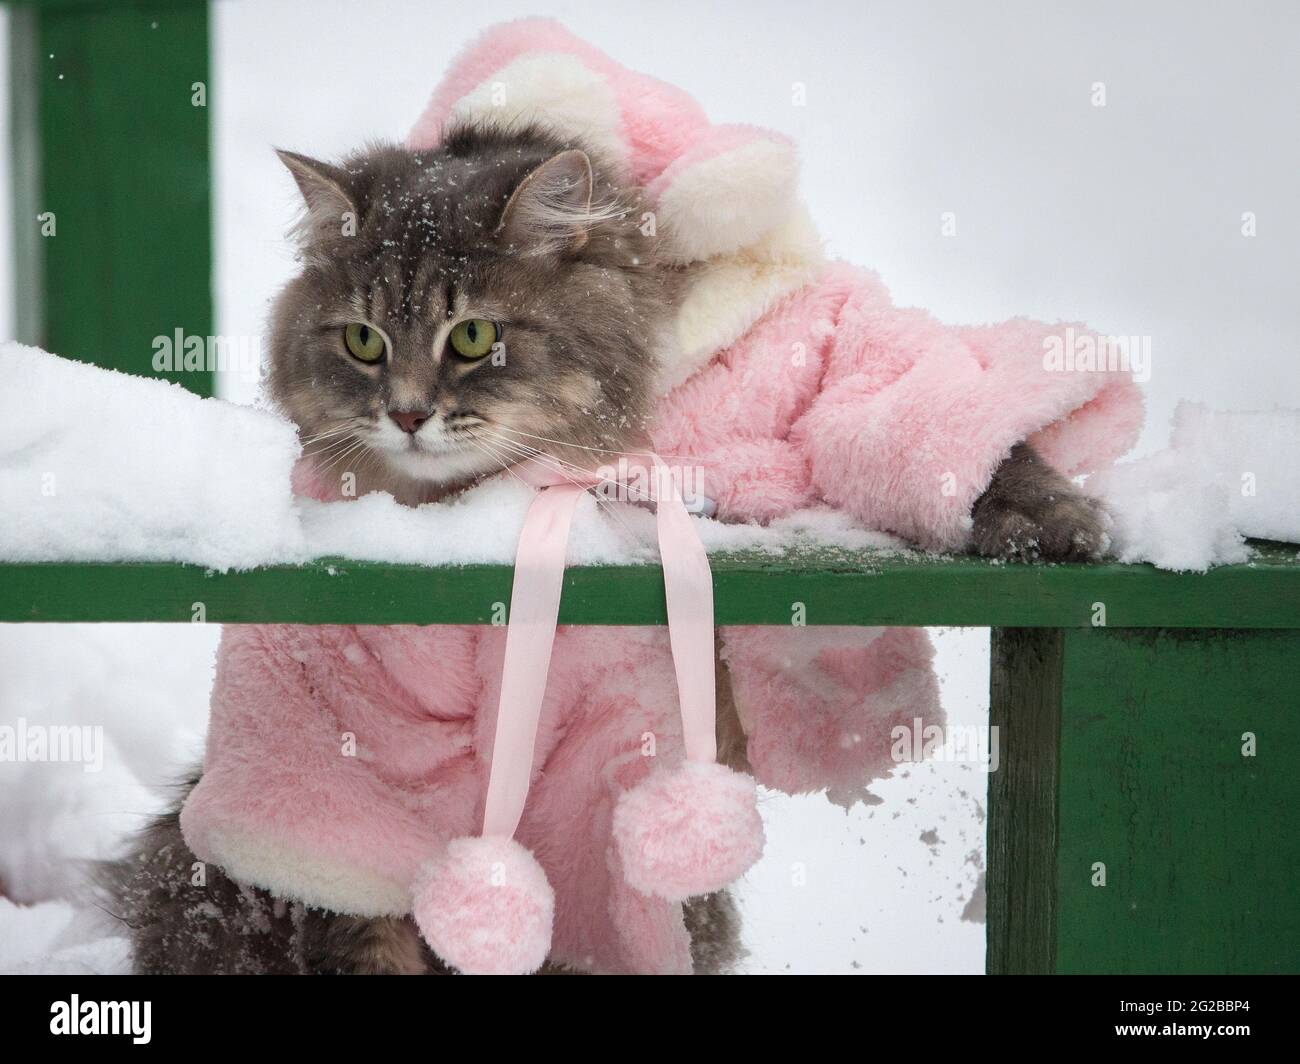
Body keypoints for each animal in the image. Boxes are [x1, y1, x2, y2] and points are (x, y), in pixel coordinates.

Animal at [111, 120, 1107, 972]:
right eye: (362, 340)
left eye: (474, 335)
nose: (407, 414)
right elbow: (361, 915)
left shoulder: (818, 368)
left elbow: (943, 425)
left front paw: (1052, 519)